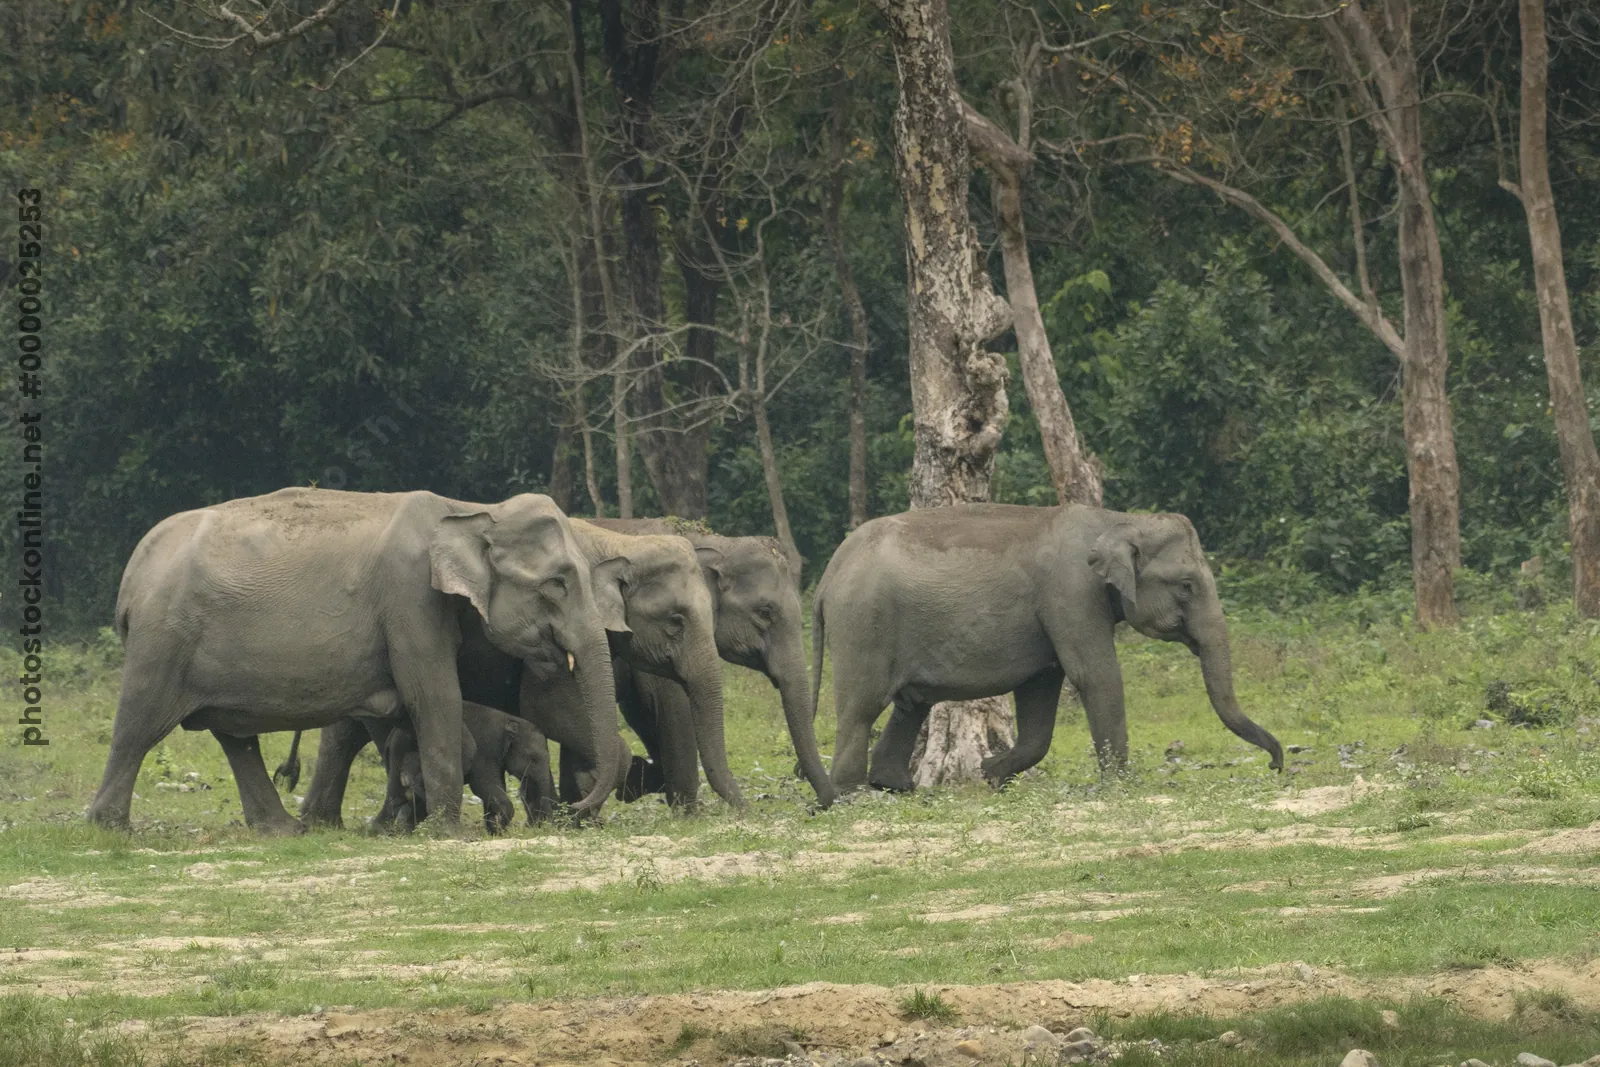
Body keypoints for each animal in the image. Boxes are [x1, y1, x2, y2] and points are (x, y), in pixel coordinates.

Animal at [384, 701, 553, 833]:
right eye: (534, 758)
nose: (533, 826)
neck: (509, 721)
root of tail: (392, 733)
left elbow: (495, 786)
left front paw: (494, 829)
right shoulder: (484, 750)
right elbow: (484, 785)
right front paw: (498, 826)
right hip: (402, 749)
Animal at [588, 519, 836, 809]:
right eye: (765, 612)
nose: (816, 806)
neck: (721, 543)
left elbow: (640, 710)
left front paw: (637, 782)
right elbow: (670, 705)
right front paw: (685, 809)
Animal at [811, 504, 1283, 793]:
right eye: (1186, 585)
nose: (1276, 766)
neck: (1117, 519)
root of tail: (828, 573)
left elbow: (1041, 688)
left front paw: (992, 775)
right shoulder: (1071, 592)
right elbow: (1096, 675)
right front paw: (1120, 784)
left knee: (911, 703)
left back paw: (895, 787)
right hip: (863, 624)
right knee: (861, 708)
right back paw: (852, 794)